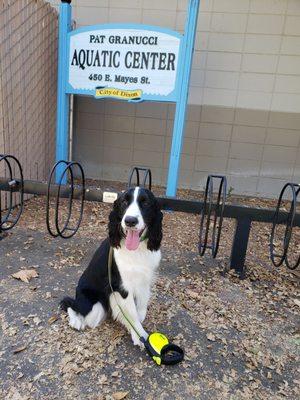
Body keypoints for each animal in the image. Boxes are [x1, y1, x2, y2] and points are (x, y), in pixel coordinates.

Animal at [61, 186, 163, 346]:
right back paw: (76, 321)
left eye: (145, 203)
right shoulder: (122, 288)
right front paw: (140, 336)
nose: (130, 221)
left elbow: (141, 306)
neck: (137, 250)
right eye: (124, 202)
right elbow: (132, 315)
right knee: (71, 305)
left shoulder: (144, 279)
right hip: (93, 308)